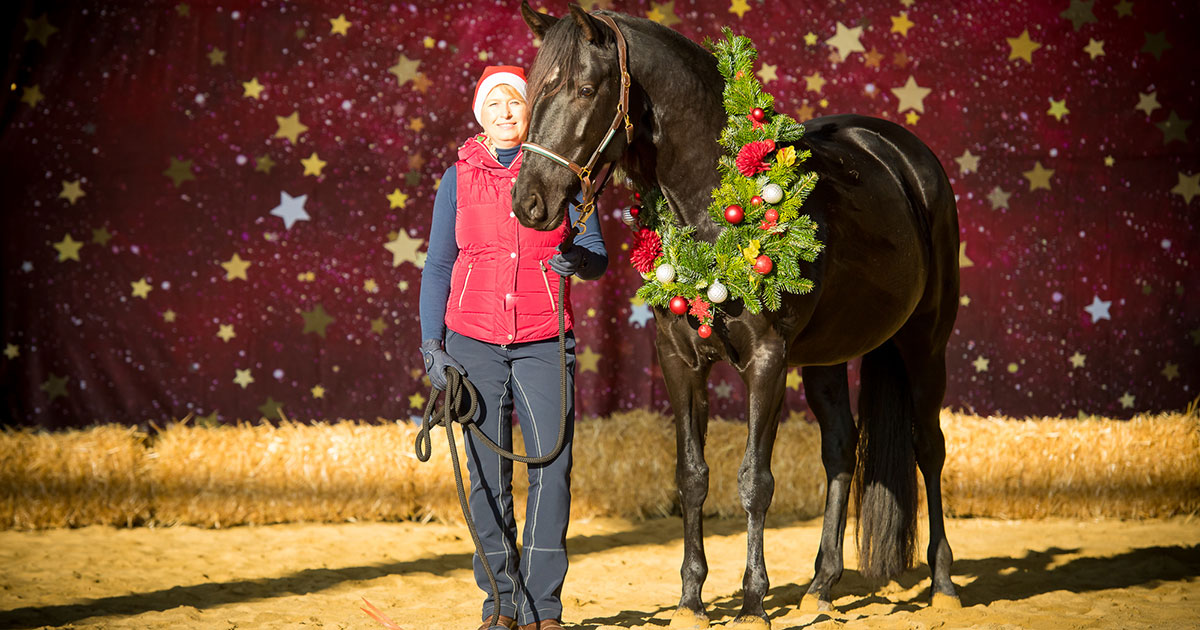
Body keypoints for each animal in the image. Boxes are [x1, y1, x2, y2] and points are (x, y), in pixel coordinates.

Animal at [511, 3, 960, 624]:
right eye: (534, 90)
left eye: (583, 89)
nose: (528, 203)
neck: (714, 208)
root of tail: (905, 155)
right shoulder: (679, 362)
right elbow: (692, 476)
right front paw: (690, 599)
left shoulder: (767, 362)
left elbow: (754, 480)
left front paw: (752, 601)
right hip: (826, 357)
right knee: (841, 450)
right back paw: (821, 587)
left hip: (925, 342)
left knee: (928, 447)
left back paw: (943, 582)